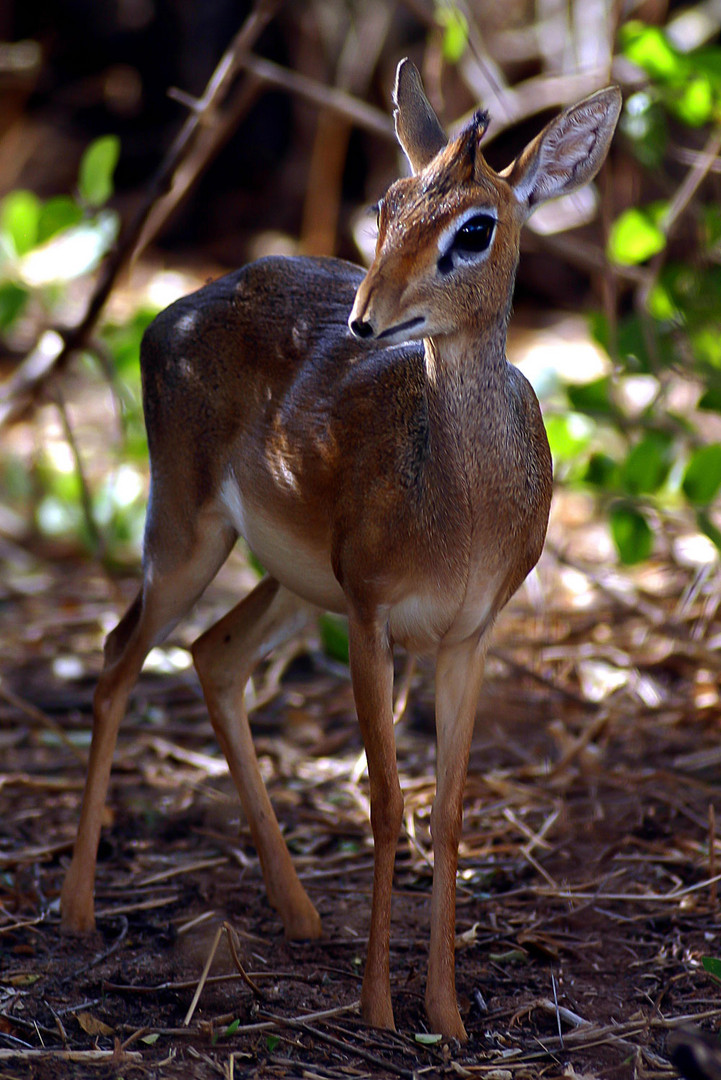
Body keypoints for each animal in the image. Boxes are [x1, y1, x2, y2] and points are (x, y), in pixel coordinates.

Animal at [62, 63, 621, 1041]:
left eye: (474, 228)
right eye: (384, 203)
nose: (364, 321)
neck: (458, 513)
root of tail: (171, 312)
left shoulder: (469, 637)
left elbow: (448, 813)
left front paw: (446, 1014)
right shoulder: (371, 617)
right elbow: (386, 803)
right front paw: (377, 1007)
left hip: (291, 582)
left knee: (212, 655)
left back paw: (299, 913)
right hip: (187, 534)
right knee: (119, 654)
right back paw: (79, 910)